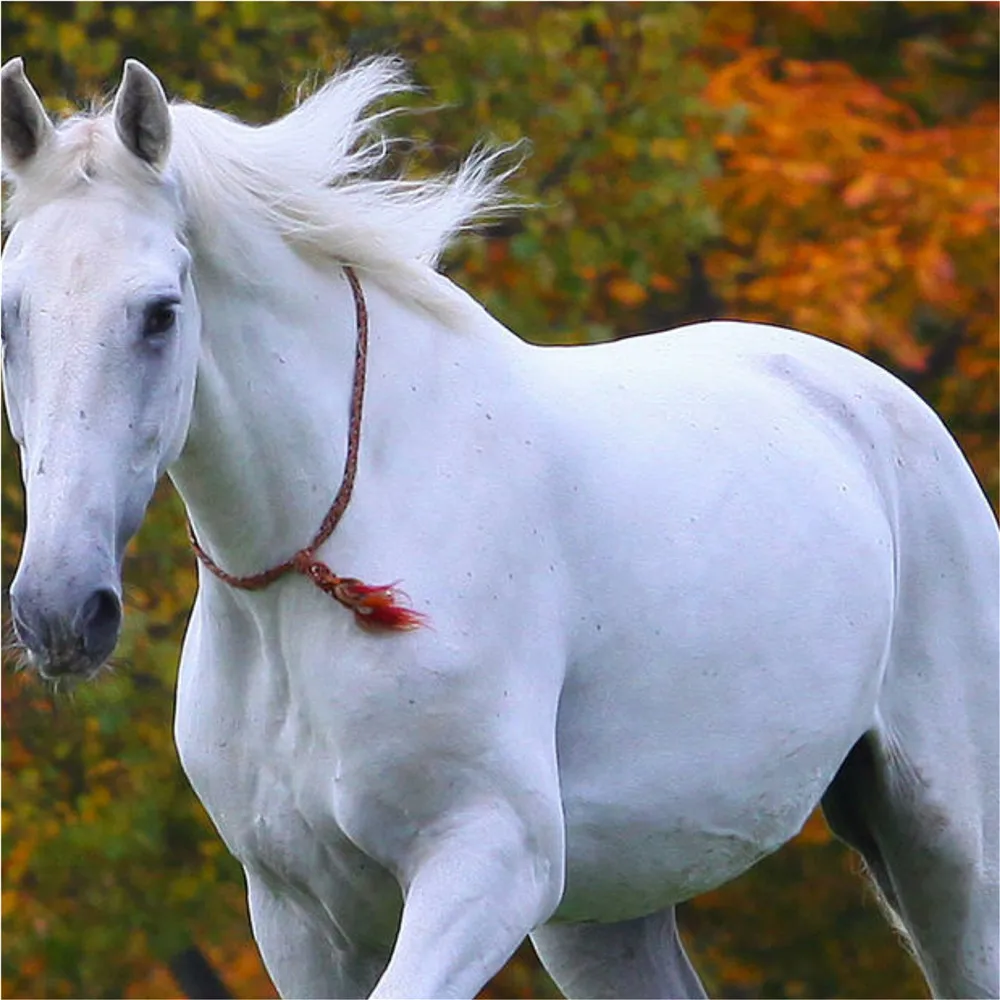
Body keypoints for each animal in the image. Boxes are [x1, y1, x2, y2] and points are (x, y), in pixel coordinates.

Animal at [2, 57, 997, 1000]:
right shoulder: (300, 919)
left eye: (160, 313)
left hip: (952, 850)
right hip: (606, 908)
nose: (59, 611)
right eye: (9, 316)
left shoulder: (485, 861)